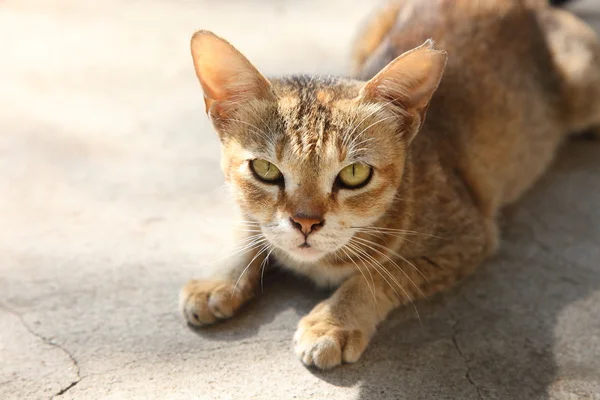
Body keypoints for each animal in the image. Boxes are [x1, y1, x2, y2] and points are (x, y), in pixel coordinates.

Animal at [179, 0, 600, 368]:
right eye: (266, 169)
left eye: (354, 174)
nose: (305, 222)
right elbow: (248, 226)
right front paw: (219, 279)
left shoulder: (467, 236)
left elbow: (379, 275)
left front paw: (333, 321)